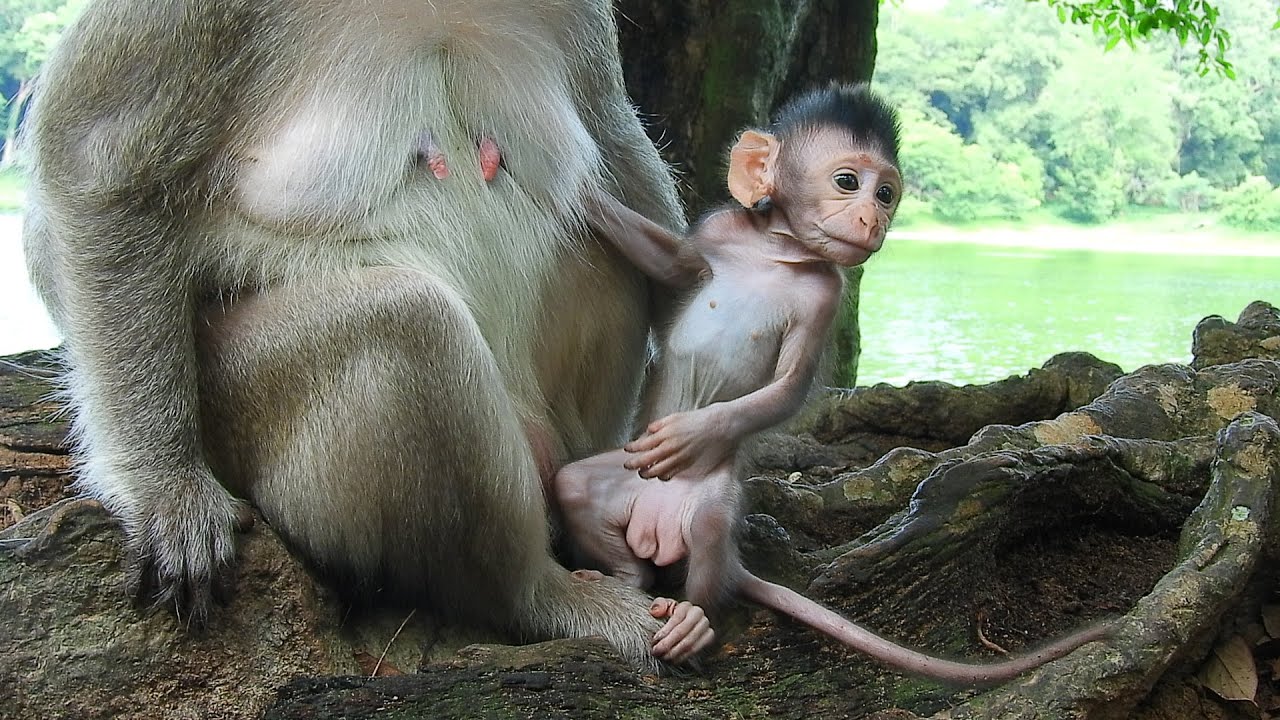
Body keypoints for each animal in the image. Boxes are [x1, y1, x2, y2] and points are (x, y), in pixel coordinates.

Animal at [22, 0, 717, 671]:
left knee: (603, 235)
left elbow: (615, 144)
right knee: (406, 320)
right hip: (240, 407)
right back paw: (543, 594)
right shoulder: (195, 15)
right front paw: (169, 492)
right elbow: (97, 162)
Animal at [553, 84, 1114, 682]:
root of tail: (654, 527)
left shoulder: (824, 294)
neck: (776, 252)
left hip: (710, 502)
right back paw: (624, 579)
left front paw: (694, 432)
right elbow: (673, 262)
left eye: (886, 193)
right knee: (573, 485)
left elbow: (789, 389)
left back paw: (693, 620)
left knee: (707, 534)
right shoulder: (717, 232)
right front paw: (584, 194)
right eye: (848, 182)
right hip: (627, 477)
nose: (872, 218)